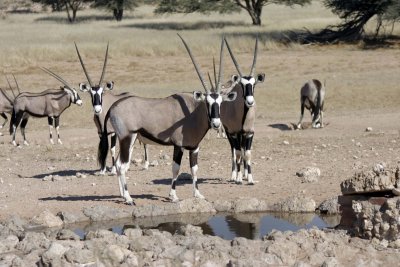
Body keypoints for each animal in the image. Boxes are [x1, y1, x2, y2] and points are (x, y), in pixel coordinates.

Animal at [74, 43, 149, 175]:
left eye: (102, 92)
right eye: (91, 94)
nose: (97, 109)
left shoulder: (113, 132)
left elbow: (112, 149)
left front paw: (113, 169)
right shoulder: (100, 133)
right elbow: (103, 148)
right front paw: (102, 169)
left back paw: (145, 164)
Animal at [97, 36, 238, 205]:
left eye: (220, 103)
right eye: (207, 103)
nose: (216, 124)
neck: (192, 113)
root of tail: (113, 107)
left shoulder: (194, 147)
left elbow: (194, 169)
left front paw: (198, 194)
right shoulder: (178, 146)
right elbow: (175, 168)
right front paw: (173, 196)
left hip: (127, 140)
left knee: (119, 165)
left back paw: (122, 195)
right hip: (127, 137)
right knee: (121, 165)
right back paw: (129, 198)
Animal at [222, 37, 266, 185]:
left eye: (254, 84)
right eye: (241, 85)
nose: (250, 102)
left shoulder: (249, 133)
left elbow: (247, 153)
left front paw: (250, 178)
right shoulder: (234, 133)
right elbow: (238, 154)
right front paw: (239, 178)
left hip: (243, 135)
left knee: (242, 150)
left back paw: (245, 174)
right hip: (229, 133)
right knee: (234, 152)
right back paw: (234, 175)